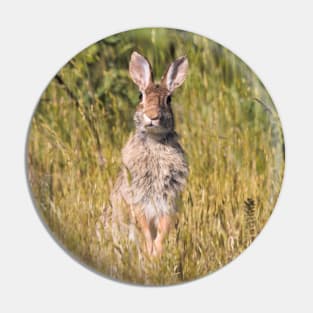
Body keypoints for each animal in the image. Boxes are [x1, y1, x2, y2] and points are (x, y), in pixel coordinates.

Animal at [109, 51, 188, 256]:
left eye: (169, 99)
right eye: (140, 96)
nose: (152, 116)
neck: (154, 140)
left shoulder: (169, 200)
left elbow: (164, 227)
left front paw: (157, 253)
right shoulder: (137, 196)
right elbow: (143, 224)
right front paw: (149, 251)